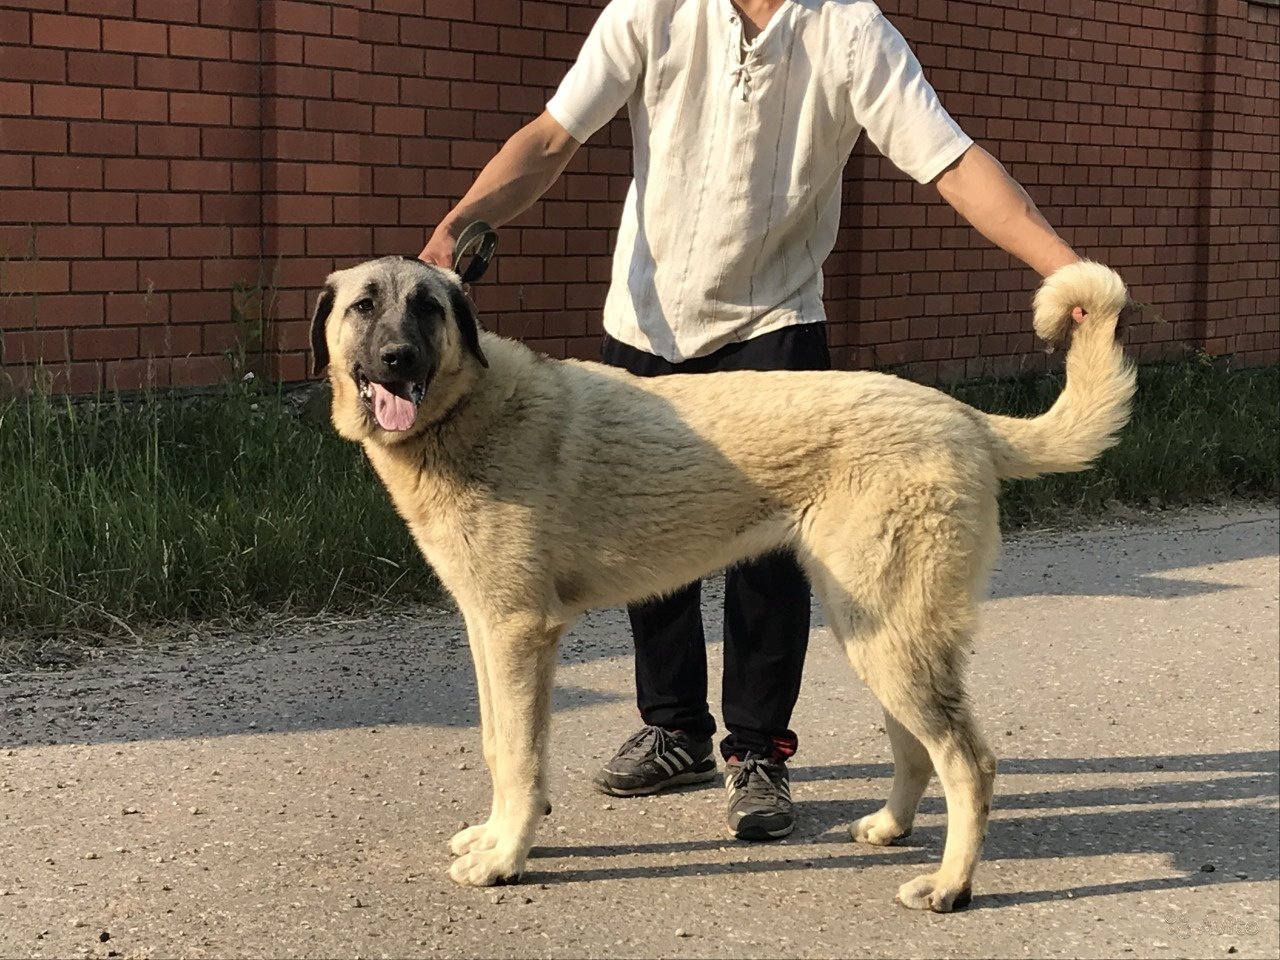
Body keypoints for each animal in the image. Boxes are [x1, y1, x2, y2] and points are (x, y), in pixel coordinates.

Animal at [314, 253, 1136, 911]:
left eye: (428, 306)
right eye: (365, 306)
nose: (396, 360)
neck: (469, 412)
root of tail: (964, 416)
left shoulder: (519, 633)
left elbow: (519, 757)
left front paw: (506, 858)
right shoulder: (488, 629)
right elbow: (494, 744)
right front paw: (493, 837)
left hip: (889, 639)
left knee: (969, 762)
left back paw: (950, 887)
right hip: (873, 632)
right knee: (918, 749)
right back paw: (890, 828)